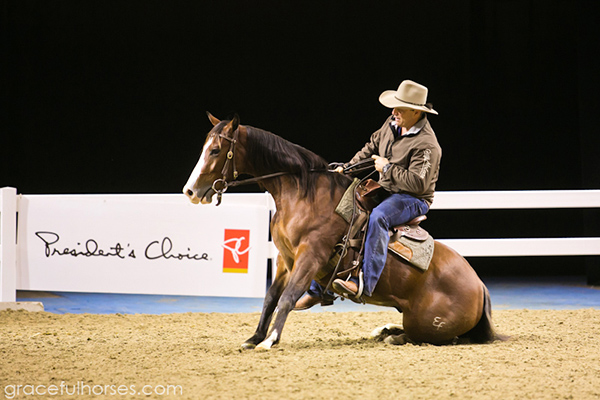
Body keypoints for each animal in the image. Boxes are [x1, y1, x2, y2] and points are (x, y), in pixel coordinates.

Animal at [183, 113, 502, 350]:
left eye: (215, 150)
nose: (190, 191)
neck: (304, 195)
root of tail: (480, 287)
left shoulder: (310, 256)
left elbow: (287, 297)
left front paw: (270, 340)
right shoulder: (286, 259)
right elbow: (271, 297)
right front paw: (255, 337)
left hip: (424, 323)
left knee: (431, 337)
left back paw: (392, 335)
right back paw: (383, 330)